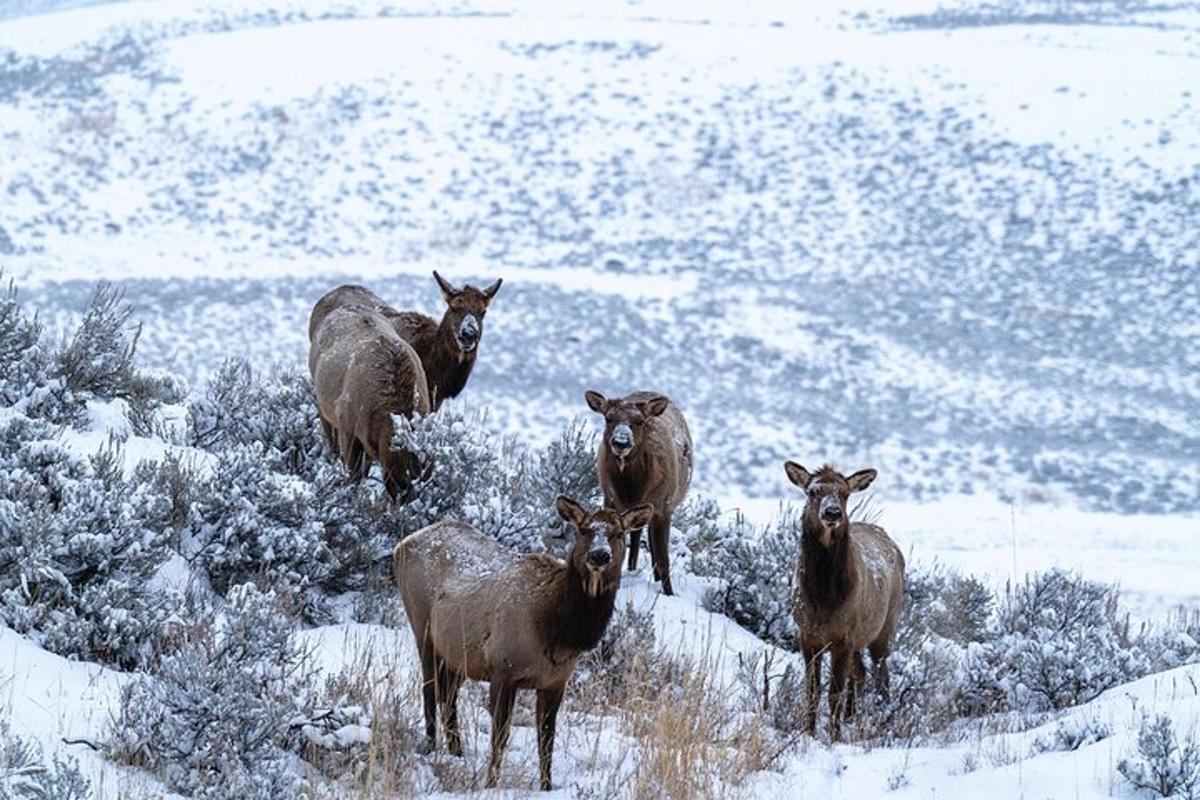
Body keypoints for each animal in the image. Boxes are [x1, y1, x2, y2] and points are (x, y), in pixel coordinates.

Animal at [396, 496, 652, 791]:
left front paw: (546, 786)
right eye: (583, 530)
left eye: (619, 533)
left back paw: (457, 754)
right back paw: (430, 750)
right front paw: (490, 784)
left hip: (456, 655)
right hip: (423, 629)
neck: (556, 631)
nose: (599, 555)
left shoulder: (555, 682)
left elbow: (547, 740)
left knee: (448, 697)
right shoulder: (502, 669)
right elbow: (500, 737)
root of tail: (401, 545)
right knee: (429, 692)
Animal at [583, 391, 696, 597]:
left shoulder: (663, 508)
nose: (621, 442)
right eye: (608, 418)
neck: (633, 491)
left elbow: (663, 559)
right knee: (636, 537)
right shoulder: (611, 501)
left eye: (640, 421)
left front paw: (669, 593)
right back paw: (632, 568)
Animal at [782, 462, 902, 743]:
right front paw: (808, 732)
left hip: (885, 626)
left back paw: (883, 718)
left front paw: (834, 738)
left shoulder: (844, 638)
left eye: (845, 494)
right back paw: (851, 717)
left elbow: (833, 693)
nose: (832, 512)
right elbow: (812, 691)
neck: (824, 599)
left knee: (881, 674)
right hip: (860, 637)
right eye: (812, 491)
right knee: (860, 673)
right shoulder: (807, 635)